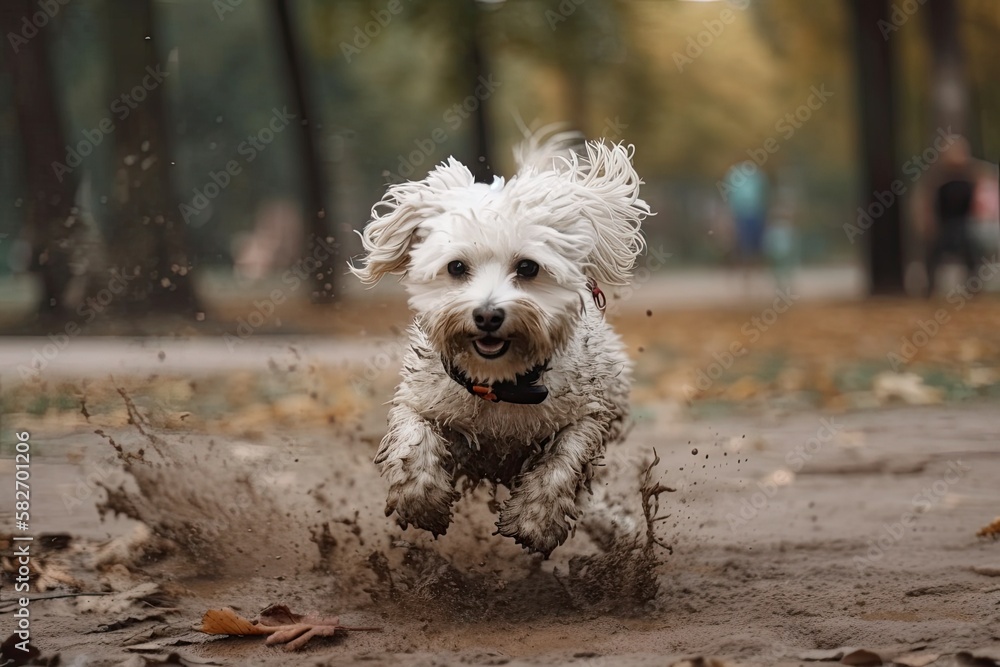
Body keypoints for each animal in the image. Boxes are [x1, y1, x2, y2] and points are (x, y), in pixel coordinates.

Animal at [352, 136, 648, 560]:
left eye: (527, 267)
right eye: (456, 267)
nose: (488, 315)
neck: (500, 385)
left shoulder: (588, 413)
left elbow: (564, 461)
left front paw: (536, 521)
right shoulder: (422, 398)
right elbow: (413, 437)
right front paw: (421, 500)